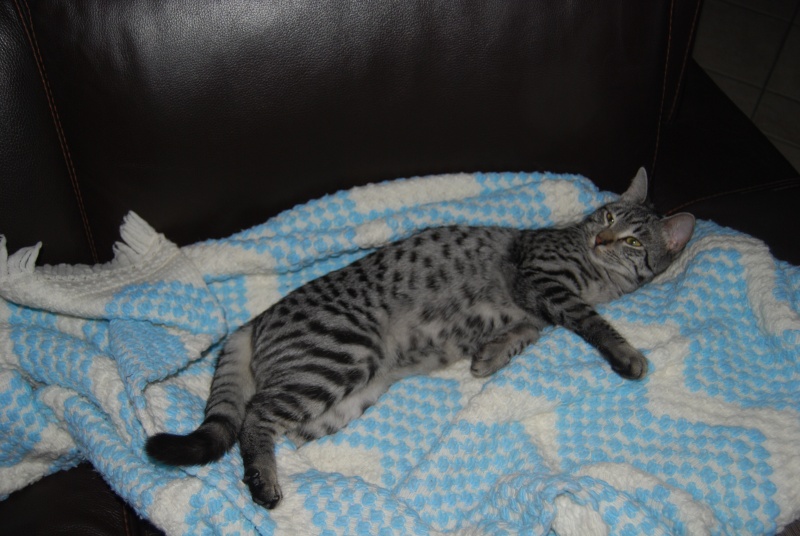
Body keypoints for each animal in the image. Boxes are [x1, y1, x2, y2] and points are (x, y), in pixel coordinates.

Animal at [147, 170, 696, 508]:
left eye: (633, 240)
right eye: (607, 217)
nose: (602, 238)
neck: (597, 275)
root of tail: (255, 319)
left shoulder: (535, 311)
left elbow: (523, 334)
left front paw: (490, 357)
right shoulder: (542, 280)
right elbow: (592, 321)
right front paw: (626, 354)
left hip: (345, 399)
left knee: (271, 420)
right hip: (342, 355)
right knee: (255, 414)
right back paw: (264, 482)